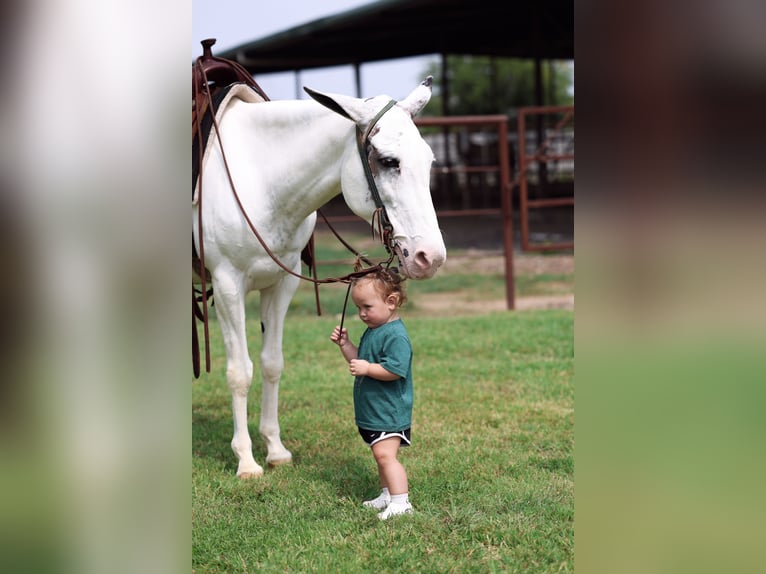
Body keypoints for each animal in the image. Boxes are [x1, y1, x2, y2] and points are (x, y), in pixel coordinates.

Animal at [193, 77, 446, 478]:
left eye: (429, 161)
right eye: (389, 161)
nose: (431, 257)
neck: (259, 175)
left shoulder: (282, 283)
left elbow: (272, 363)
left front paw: (275, 449)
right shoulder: (228, 284)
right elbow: (239, 372)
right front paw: (246, 460)